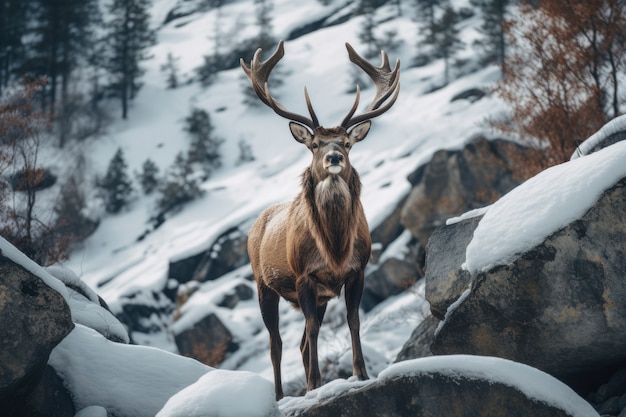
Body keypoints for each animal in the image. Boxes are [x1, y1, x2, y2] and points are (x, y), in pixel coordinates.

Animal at [241, 39, 398, 400]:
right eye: (314, 144)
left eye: (346, 143)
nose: (334, 157)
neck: (335, 247)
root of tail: (256, 225)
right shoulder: (304, 275)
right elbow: (312, 331)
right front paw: (314, 385)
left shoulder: (356, 271)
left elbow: (354, 320)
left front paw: (361, 373)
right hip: (263, 284)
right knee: (277, 343)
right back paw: (281, 396)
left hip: (321, 295)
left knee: (298, 343)